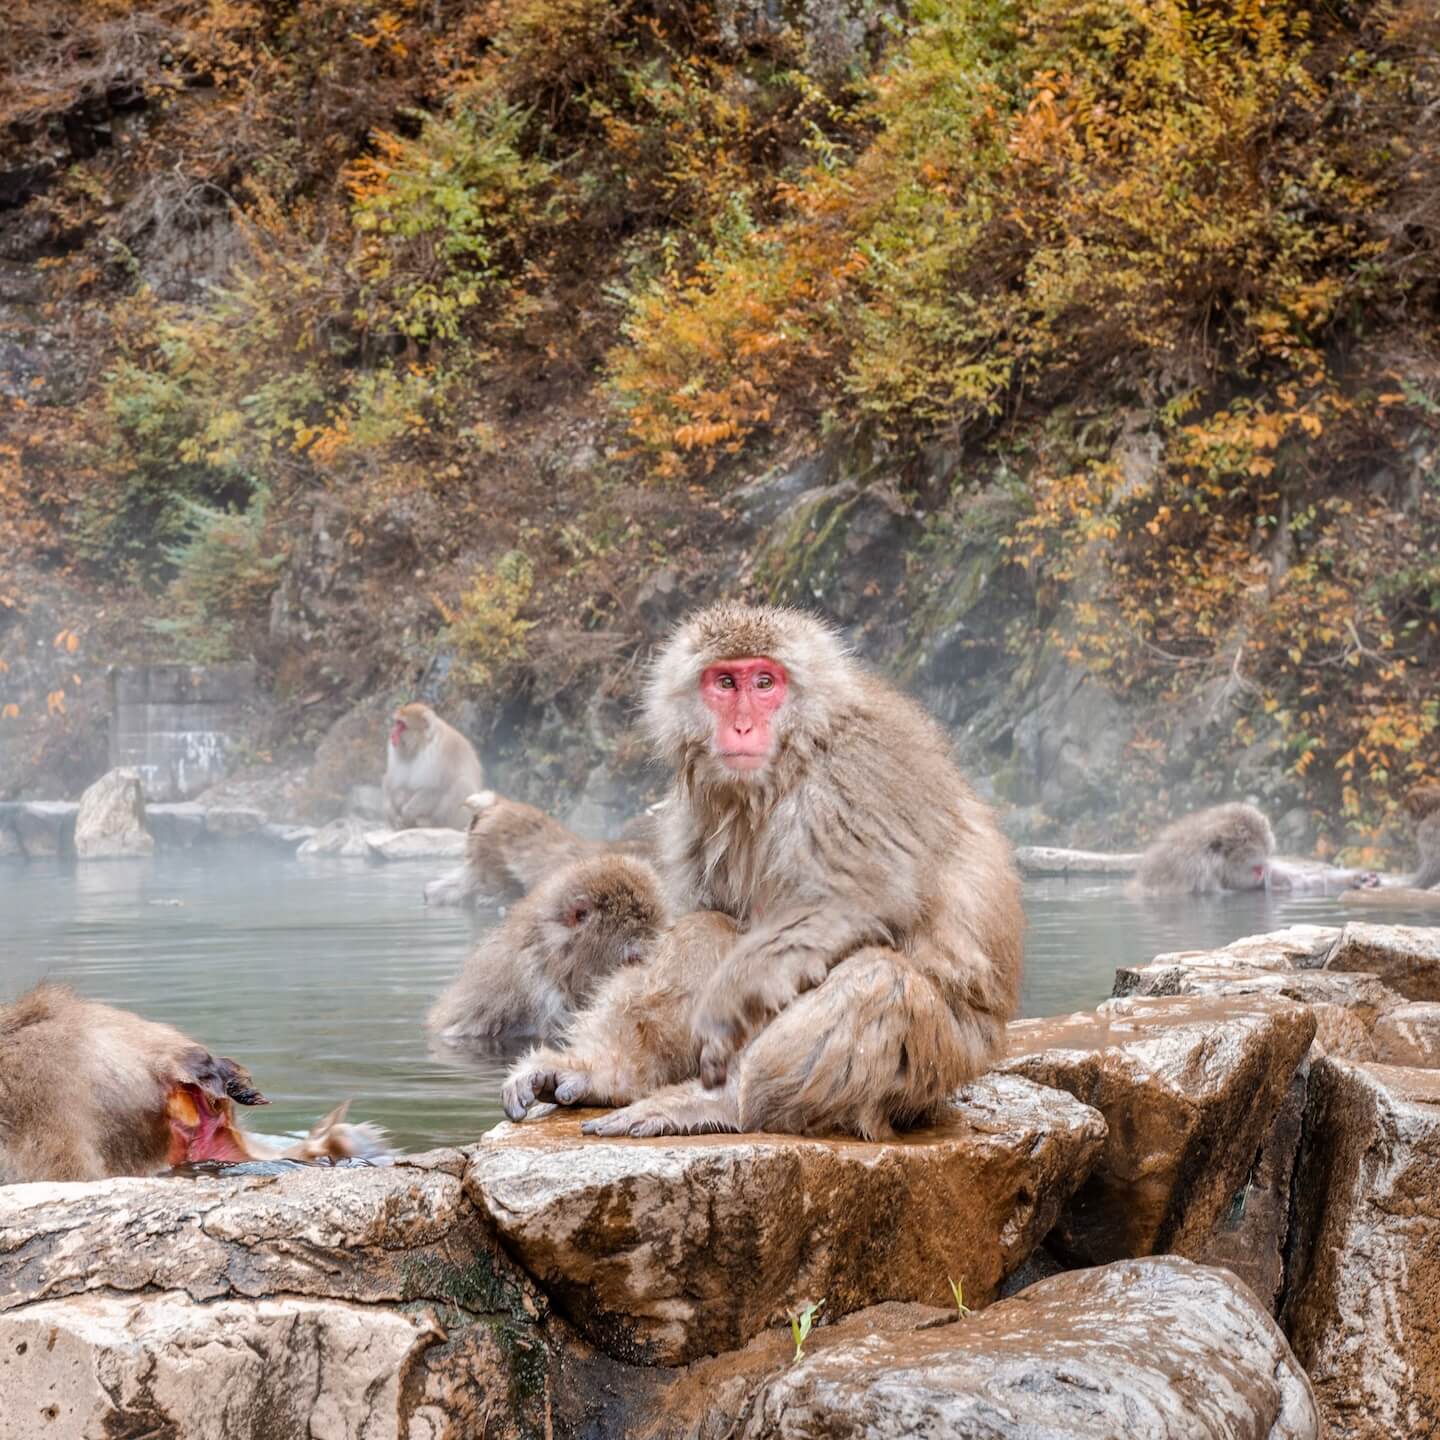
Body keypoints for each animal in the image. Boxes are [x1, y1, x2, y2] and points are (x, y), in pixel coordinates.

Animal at [383, 699, 483, 835]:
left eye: (402, 725)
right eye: (396, 723)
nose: (392, 733)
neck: (420, 744)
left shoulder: (443, 751)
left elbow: (436, 788)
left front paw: (407, 812)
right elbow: (391, 784)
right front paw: (391, 813)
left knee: (462, 784)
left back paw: (431, 824)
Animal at [506, 601, 1025, 1140]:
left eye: (764, 682)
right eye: (725, 683)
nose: (742, 727)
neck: (789, 763)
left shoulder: (857, 777)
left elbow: (844, 905)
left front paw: (723, 1017)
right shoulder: (694, 813)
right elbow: (700, 915)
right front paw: (603, 1068)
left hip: (941, 1065)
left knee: (880, 982)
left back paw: (727, 1103)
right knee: (709, 927)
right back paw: (620, 1077)